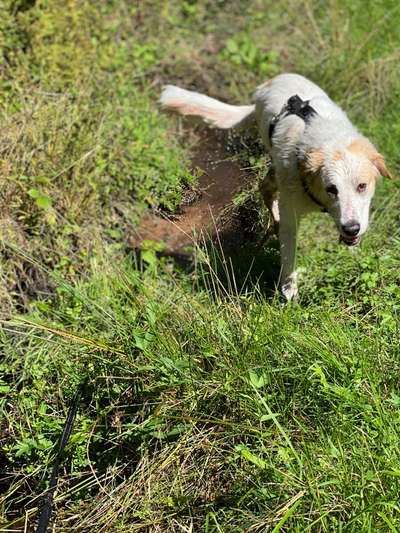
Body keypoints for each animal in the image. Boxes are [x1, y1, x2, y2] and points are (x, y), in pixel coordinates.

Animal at [160, 72, 390, 302]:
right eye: (331, 189)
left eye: (362, 186)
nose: (351, 228)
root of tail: (270, 84)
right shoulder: (291, 216)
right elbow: (288, 257)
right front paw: (289, 293)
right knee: (267, 192)